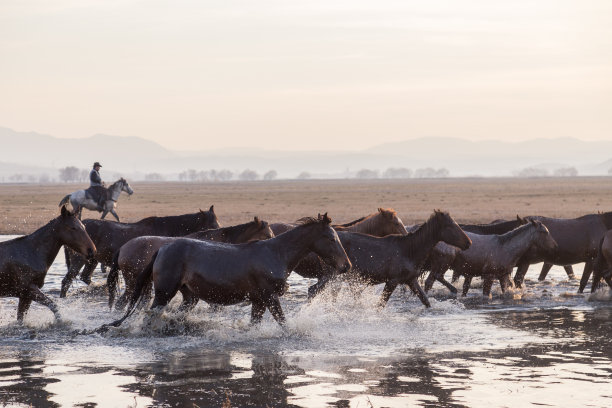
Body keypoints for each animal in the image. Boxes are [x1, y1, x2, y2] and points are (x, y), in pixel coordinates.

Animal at [107, 217, 274, 310]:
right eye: (267, 234)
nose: (271, 242)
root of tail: (123, 248)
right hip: (133, 283)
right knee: (121, 303)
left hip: (145, 284)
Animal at [426, 220, 560, 296]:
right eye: (544, 232)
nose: (555, 246)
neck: (505, 247)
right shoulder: (489, 276)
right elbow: (486, 294)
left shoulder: (503, 276)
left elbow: (505, 292)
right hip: (444, 262)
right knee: (438, 276)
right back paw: (453, 290)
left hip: (437, 265)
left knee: (429, 282)